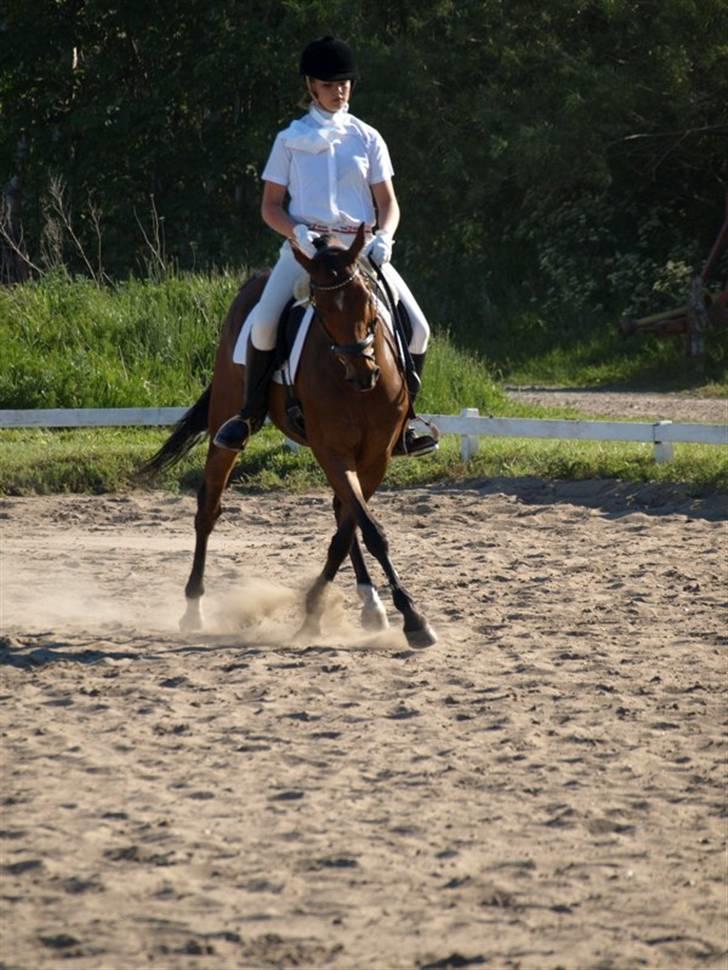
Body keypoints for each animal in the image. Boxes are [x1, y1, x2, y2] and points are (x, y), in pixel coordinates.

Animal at [143, 225, 438, 652]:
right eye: (321, 308)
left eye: (367, 298)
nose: (363, 372)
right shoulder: (333, 451)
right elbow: (369, 530)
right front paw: (412, 619)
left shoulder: (375, 456)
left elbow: (349, 528)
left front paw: (318, 608)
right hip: (226, 422)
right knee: (208, 509)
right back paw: (193, 610)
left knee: (340, 511)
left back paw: (370, 606)